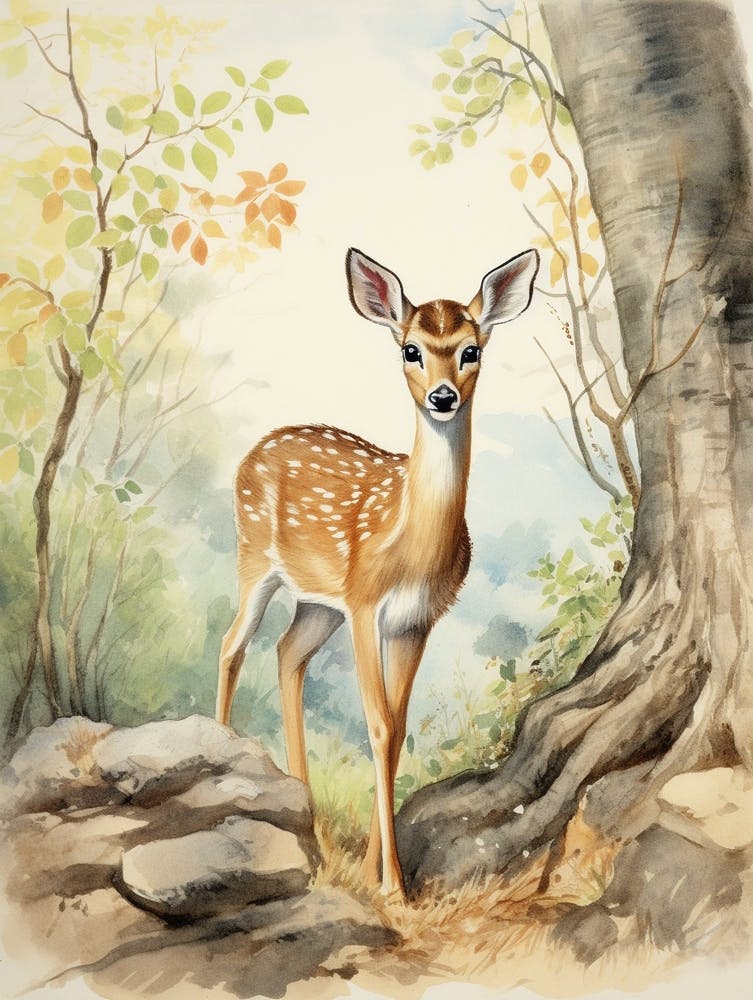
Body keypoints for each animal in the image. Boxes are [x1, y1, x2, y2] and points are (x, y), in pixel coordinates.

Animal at [217, 247, 539, 896]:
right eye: (410, 349)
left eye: (472, 350)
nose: (442, 397)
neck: (411, 546)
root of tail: (254, 450)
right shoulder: (367, 603)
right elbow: (378, 725)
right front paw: (392, 885)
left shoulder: (416, 619)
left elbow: (398, 727)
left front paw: (375, 873)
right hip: (255, 557)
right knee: (232, 645)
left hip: (317, 602)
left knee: (287, 652)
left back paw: (312, 833)